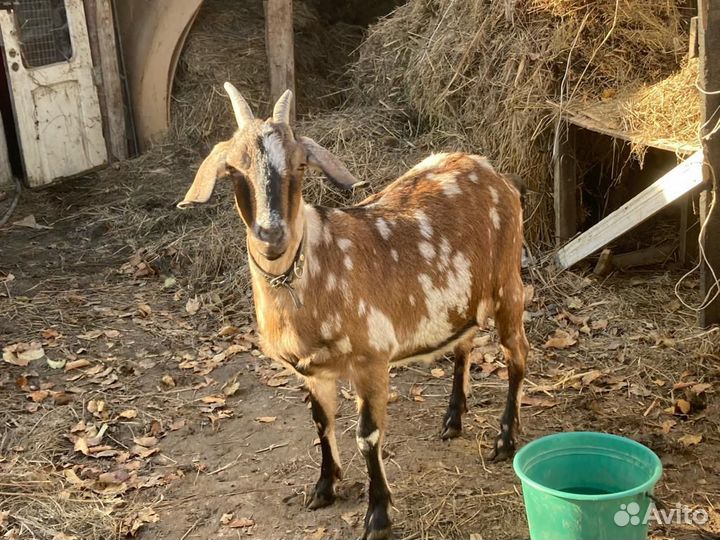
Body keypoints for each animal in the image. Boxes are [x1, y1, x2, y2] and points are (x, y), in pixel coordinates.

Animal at [178, 84, 529, 540]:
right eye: (233, 170)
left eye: (301, 165)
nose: (271, 234)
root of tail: (489, 169)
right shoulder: (311, 371)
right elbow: (320, 423)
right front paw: (323, 488)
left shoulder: (371, 359)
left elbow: (368, 435)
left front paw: (378, 515)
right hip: (461, 301)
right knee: (463, 344)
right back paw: (452, 419)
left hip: (508, 285)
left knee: (517, 356)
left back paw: (505, 440)